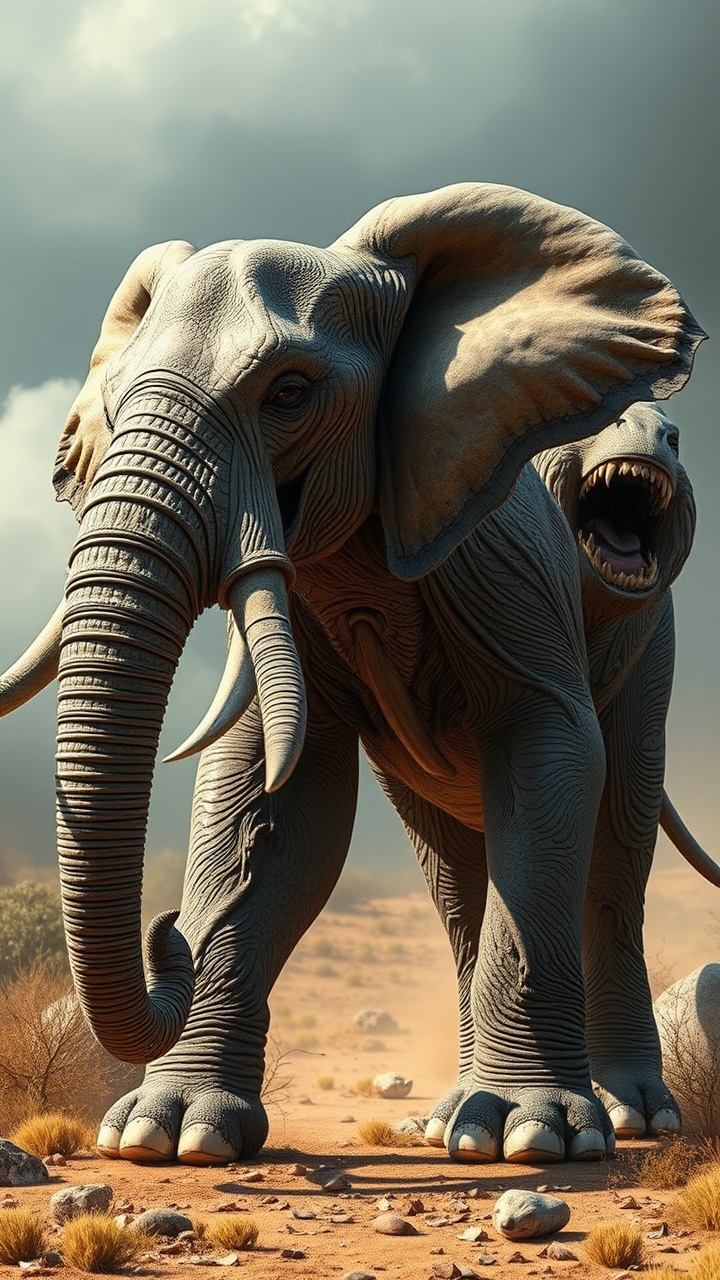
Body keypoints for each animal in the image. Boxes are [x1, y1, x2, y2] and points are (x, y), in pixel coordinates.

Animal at [418, 402, 720, 1153]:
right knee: (456, 882)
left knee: (618, 849)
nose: (664, 443)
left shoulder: (650, 640)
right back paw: (451, 1118)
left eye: (677, 440)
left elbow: (616, 815)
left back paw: (640, 1116)